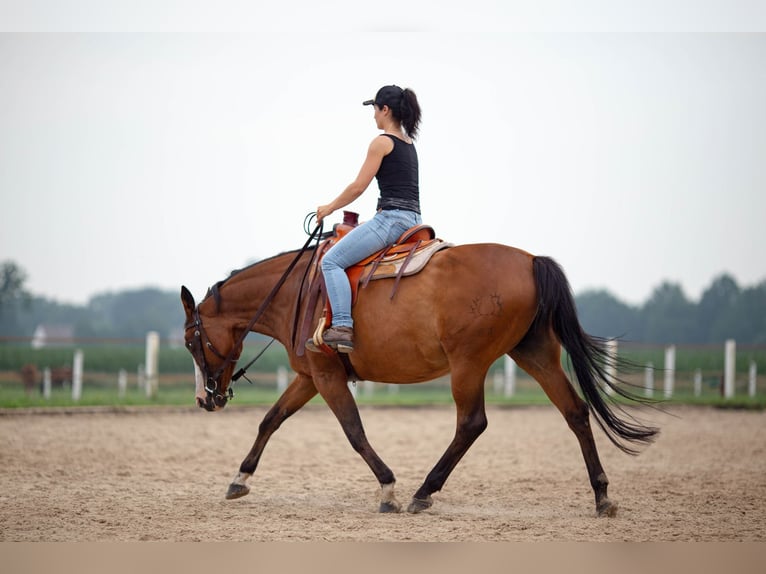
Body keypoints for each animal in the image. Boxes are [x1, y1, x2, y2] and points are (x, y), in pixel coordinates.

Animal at [182, 237, 660, 516]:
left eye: (191, 341)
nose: (206, 399)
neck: (295, 293)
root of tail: (530, 261)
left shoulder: (326, 376)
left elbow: (354, 432)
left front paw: (389, 489)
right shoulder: (310, 376)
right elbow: (271, 420)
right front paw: (239, 479)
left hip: (469, 364)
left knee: (471, 423)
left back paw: (423, 492)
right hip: (535, 353)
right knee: (576, 412)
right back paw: (601, 495)